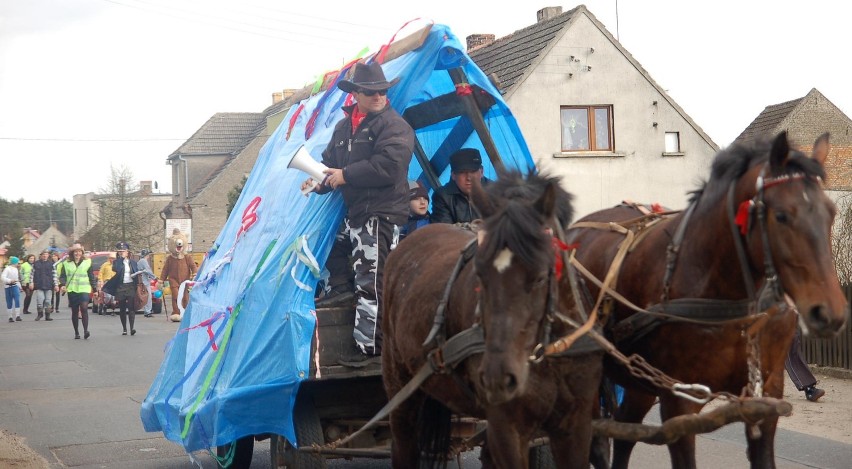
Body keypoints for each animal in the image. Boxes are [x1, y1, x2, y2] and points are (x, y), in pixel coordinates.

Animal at [382, 172, 604, 468]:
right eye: (480, 273)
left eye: (540, 277)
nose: (498, 376)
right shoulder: (507, 426)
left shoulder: (576, 424)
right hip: (400, 388)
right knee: (403, 443)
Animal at [564, 133, 844, 468]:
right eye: (781, 215)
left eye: (831, 212)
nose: (830, 312)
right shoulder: (679, 406)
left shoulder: (766, 396)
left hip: (638, 380)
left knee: (624, 433)